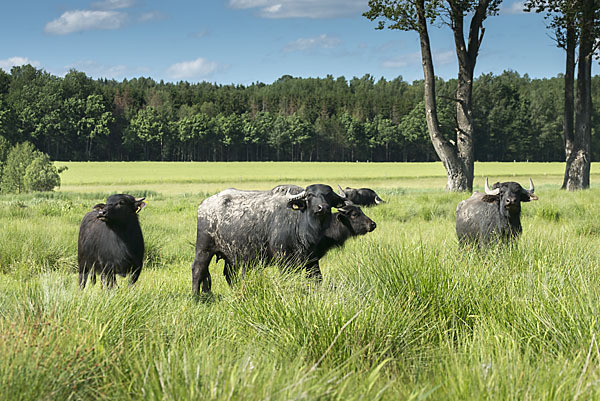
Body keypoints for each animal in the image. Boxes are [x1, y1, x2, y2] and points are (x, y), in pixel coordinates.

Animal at [192, 183, 346, 292]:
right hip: (204, 249)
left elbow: (317, 278)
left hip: (230, 256)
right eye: (310, 195)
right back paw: (196, 297)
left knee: (229, 274)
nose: (322, 207)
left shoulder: (312, 260)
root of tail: (203, 205)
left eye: (329, 196)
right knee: (198, 269)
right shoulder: (283, 259)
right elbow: (287, 277)